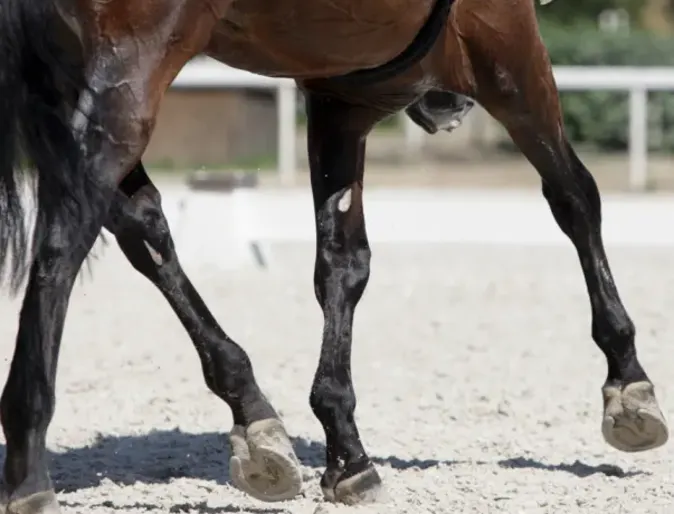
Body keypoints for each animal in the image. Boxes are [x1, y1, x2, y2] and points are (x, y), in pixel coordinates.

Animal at [0, 0, 668, 511]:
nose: (448, 109)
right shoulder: (502, 35)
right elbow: (575, 197)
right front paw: (628, 383)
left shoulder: (342, 96)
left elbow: (342, 264)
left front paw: (344, 450)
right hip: (128, 68)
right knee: (66, 235)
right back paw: (28, 463)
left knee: (140, 225)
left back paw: (253, 415)